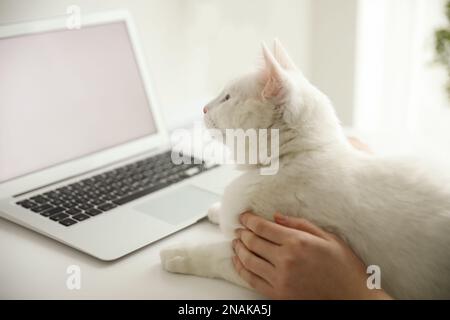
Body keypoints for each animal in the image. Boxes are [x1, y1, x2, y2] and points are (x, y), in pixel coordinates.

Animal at [161, 40, 450, 300]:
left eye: (227, 97)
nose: (204, 108)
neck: (293, 156)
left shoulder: (256, 257)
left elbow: (214, 256)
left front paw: (179, 254)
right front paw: (215, 210)